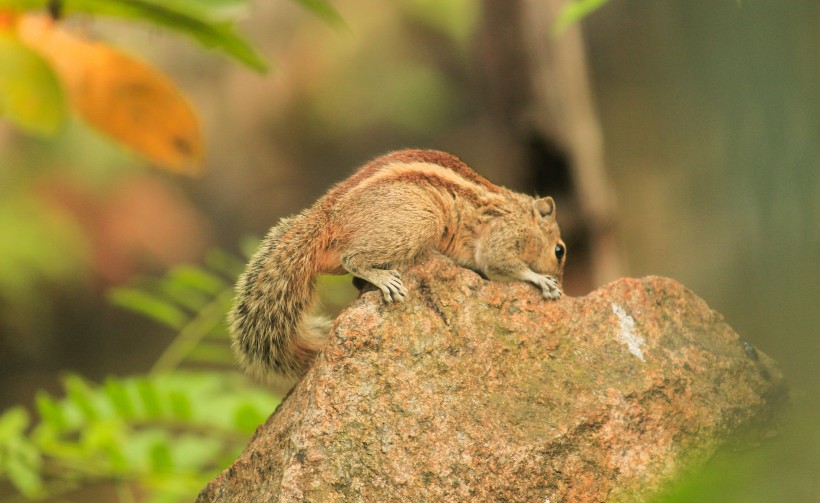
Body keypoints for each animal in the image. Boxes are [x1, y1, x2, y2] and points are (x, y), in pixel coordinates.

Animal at [227, 150, 568, 386]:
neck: (522, 213)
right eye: (560, 251)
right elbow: (500, 261)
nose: (564, 283)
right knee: (354, 258)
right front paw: (542, 280)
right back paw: (383, 279)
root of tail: (326, 216)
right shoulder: (503, 235)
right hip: (419, 221)